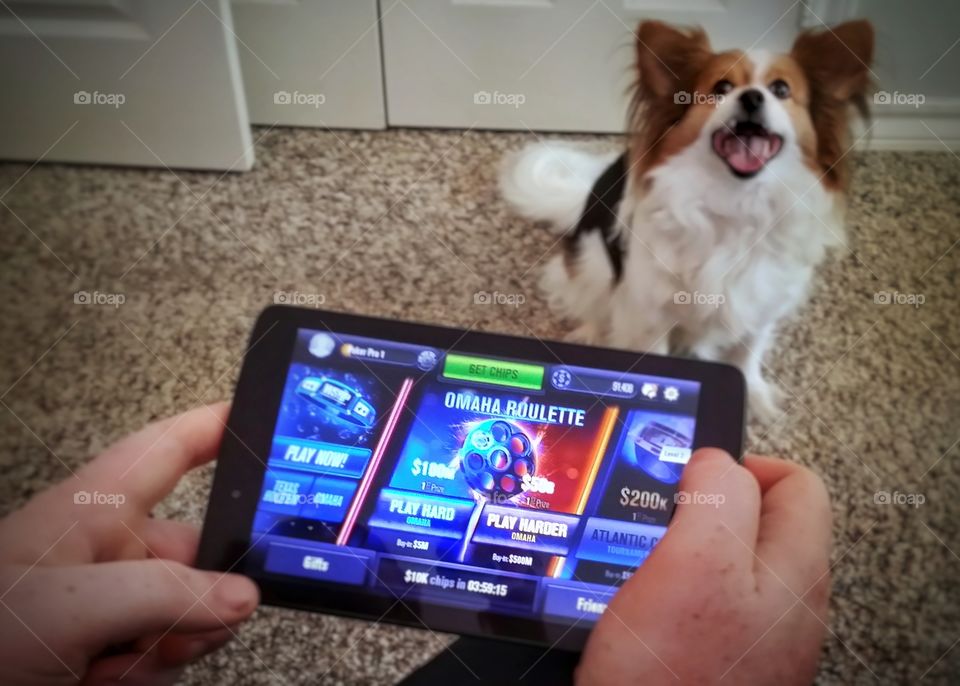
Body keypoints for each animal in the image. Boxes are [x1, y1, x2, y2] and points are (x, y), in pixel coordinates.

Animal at [498, 20, 872, 420]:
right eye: (721, 88)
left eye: (781, 90)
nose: (752, 97)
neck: (737, 201)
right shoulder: (651, 310)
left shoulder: (763, 303)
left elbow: (748, 351)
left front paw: (753, 396)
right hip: (594, 261)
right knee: (593, 301)